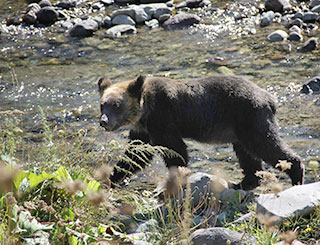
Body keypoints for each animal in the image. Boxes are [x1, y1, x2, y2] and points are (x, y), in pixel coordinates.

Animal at [98, 74, 304, 189]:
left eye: (116, 105)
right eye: (102, 105)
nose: (103, 121)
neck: (145, 110)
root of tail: (270, 98)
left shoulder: (164, 118)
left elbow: (175, 150)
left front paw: (177, 177)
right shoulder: (144, 130)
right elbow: (135, 155)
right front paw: (111, 179)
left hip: (250, 116)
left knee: (266, 145)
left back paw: (296, 175)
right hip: (239, 130)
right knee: (248, 155)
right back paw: (244, 183)